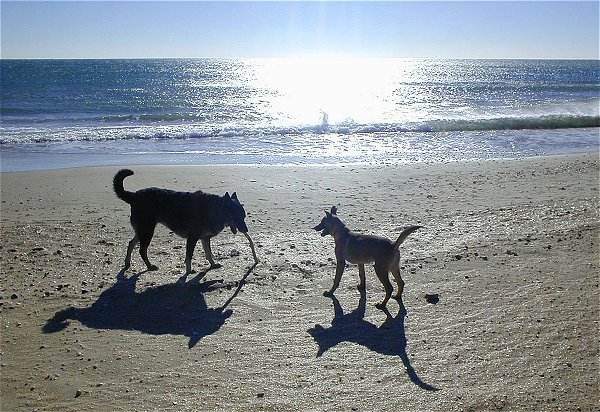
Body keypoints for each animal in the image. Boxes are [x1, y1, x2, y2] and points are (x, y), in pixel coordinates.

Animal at [113, 169, 250, 276]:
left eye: (243, 217)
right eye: (237, 217)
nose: (246, 230)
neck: (216, 209)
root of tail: (134, 196)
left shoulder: (204, 238)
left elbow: (208, 253)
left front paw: (213, 264)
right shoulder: (192, 238)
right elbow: (189, 255)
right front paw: (188, 271)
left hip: (143, 230)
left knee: (131, 243)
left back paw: (127, 262)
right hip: (147, 230)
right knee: (142, 250)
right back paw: (149, 266)